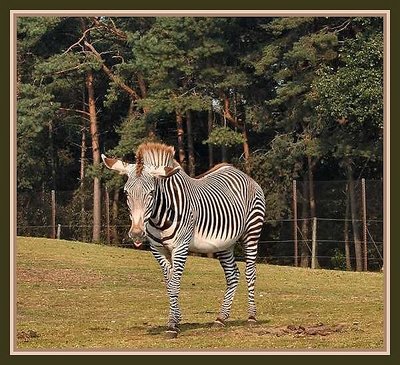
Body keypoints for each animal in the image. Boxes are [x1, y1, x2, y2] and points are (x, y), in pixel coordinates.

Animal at [103, 141, 266, 336]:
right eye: (126, 193)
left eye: (151, 193)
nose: (136, 234)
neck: (159, 216)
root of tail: (240, 172)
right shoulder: (157, 250)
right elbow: (169, 282)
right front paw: (176, 319)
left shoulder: (180, 247)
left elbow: (174, 283)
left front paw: (172, 325)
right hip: (225, 243)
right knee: (232, 275)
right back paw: (220, 318)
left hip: (252, 232)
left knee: (250, 272)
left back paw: (252, 317)